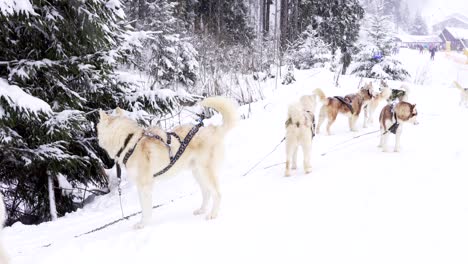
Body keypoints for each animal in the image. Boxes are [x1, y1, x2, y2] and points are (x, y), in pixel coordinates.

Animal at [98, 96, 238, 228]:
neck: (128, 142)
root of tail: (213, 129)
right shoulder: (140, 186)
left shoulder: (145, 185)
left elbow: (145, 209)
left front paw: (143, 224)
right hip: (198, 173)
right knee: (207, 192)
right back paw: (201, 210)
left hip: (206, 172)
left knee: (217, 194)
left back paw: (213, 214)